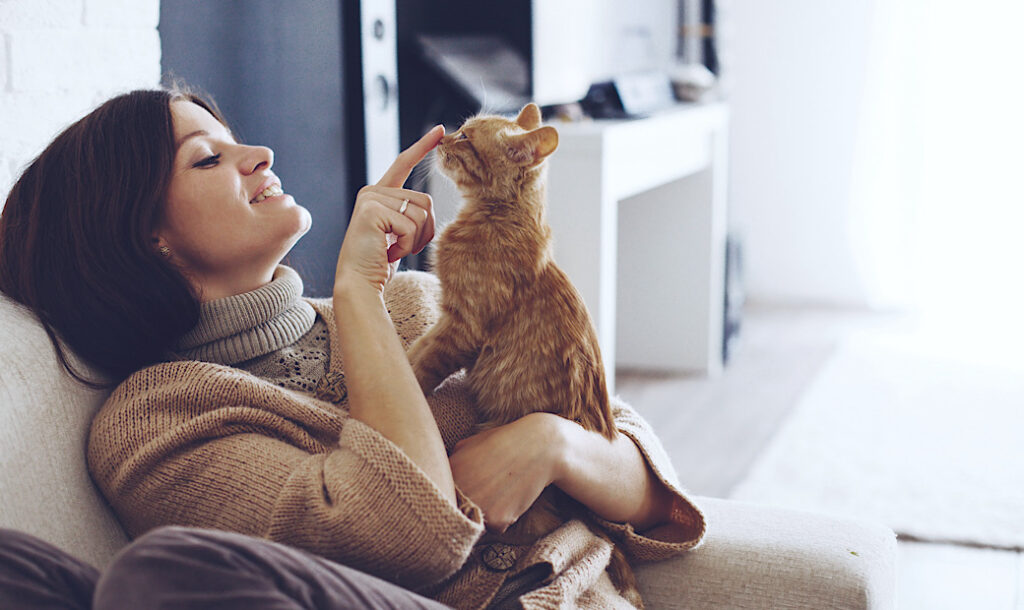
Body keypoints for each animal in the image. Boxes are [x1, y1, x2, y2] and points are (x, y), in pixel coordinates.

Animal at [405, 103, 638, 605]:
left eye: (467, 139)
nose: (442, 136)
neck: (495, 218)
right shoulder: (449, 322)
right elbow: (416, 347)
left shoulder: (461, 328)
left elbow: (420, 362)